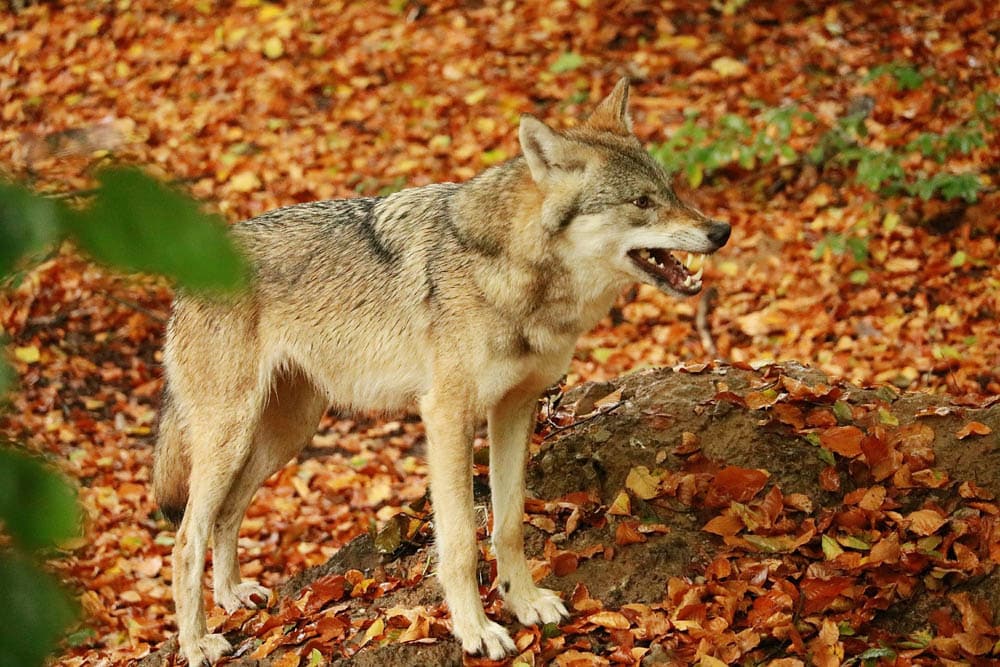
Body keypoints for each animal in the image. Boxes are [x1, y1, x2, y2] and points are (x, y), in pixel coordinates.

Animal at [154, 77, 736, 664]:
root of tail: (186, 275)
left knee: (226, 514)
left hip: (284, 435)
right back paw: (198, 642)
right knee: (184, 540)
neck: (511, 271)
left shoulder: (514, 409)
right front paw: (475, 629)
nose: (721, 229)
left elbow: (508, 523)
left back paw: (233, 595)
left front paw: (523, 602)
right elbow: (459, 541)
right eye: (641, 202)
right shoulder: (447, 417)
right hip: (233, 435)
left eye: (669, 190)